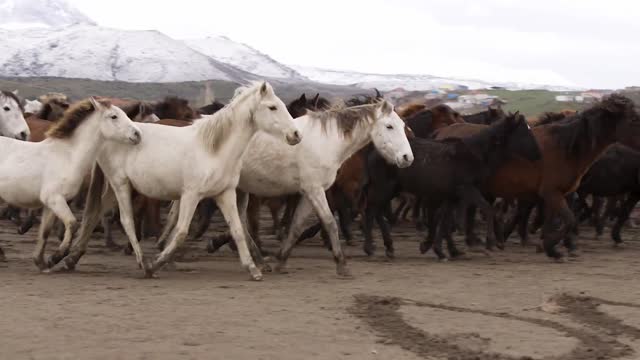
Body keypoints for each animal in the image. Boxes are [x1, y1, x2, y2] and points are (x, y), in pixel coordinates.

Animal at [0, 97, 141, 268]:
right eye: (114, 116)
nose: (137, 134)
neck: (68, 156)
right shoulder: (55, 199)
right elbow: (73, 224)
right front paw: (56, 257)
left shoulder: (51, 204)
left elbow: (45, 231)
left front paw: (41, 261)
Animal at [56, 82, 302, 282]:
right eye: (272, 107)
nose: (296, 134)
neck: (214, 149)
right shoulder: (191, 194)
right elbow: (182, 231)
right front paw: (156, 264)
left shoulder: (225, 193)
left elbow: (238, 230)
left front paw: (253, 269)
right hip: (120, 184)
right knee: (126, 221)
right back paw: (141, 262)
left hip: (111, 188)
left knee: (95, 214)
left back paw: (67, 260)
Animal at [438, 94, 640, 260]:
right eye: (632, 119)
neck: (566, 147)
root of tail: (442, 134)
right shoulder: (551, 193)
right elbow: (568, 219)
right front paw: (550, 245)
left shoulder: (557, 195)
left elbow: (553, 220)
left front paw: (552, 249)